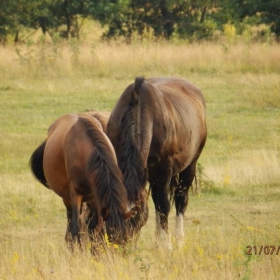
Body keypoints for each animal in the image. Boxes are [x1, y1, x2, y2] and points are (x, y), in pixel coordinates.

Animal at [29, 111, 135, 249]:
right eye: (110, 236)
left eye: (124, 238)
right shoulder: (75, 194)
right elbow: (76, 228)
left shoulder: (96, 195)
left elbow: (94, 227)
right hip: (67, 198)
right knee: (71, 224)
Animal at [106, 77, 207, 249]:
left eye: (138, 220)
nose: (125, 248)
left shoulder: (163, 170)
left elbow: (164, 205)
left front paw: (166, 245)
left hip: (189, 166)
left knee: (180, 199)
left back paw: (178, 239)